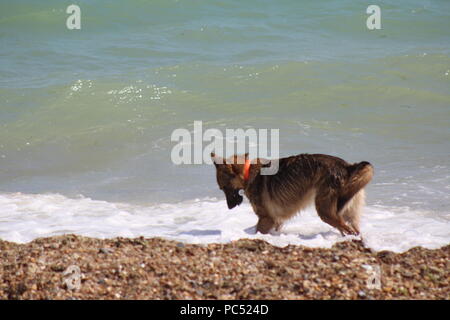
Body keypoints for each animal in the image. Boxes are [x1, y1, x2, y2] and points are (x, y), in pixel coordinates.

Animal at [211, 152, 372, 235]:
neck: (247, 171)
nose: (229, 207)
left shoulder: (266, 219)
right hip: (347, 213)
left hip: (326, 212)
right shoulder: (276, 221)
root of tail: (347, 167)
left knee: (347, 229)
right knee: (354, 230)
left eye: (223, 188)